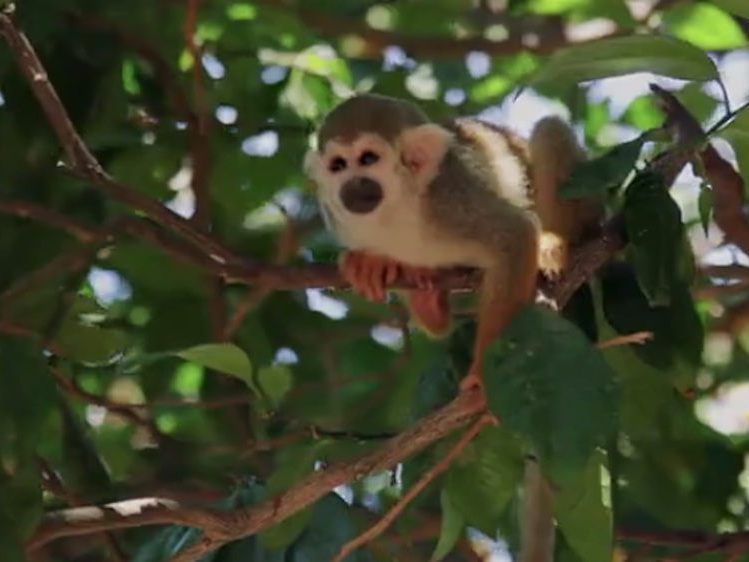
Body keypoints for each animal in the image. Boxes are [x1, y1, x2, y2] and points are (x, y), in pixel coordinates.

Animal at [300, 93, 600, 390]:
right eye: (338, 165)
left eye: (368, 159)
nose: (352, 184)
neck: (397, 208)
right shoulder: (339, 221)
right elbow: (439, 328)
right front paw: (373, 264)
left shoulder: (451, 203)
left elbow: (516, 233)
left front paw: (483, 378)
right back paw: (426, 295)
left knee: (550, 130)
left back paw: (554, 240)